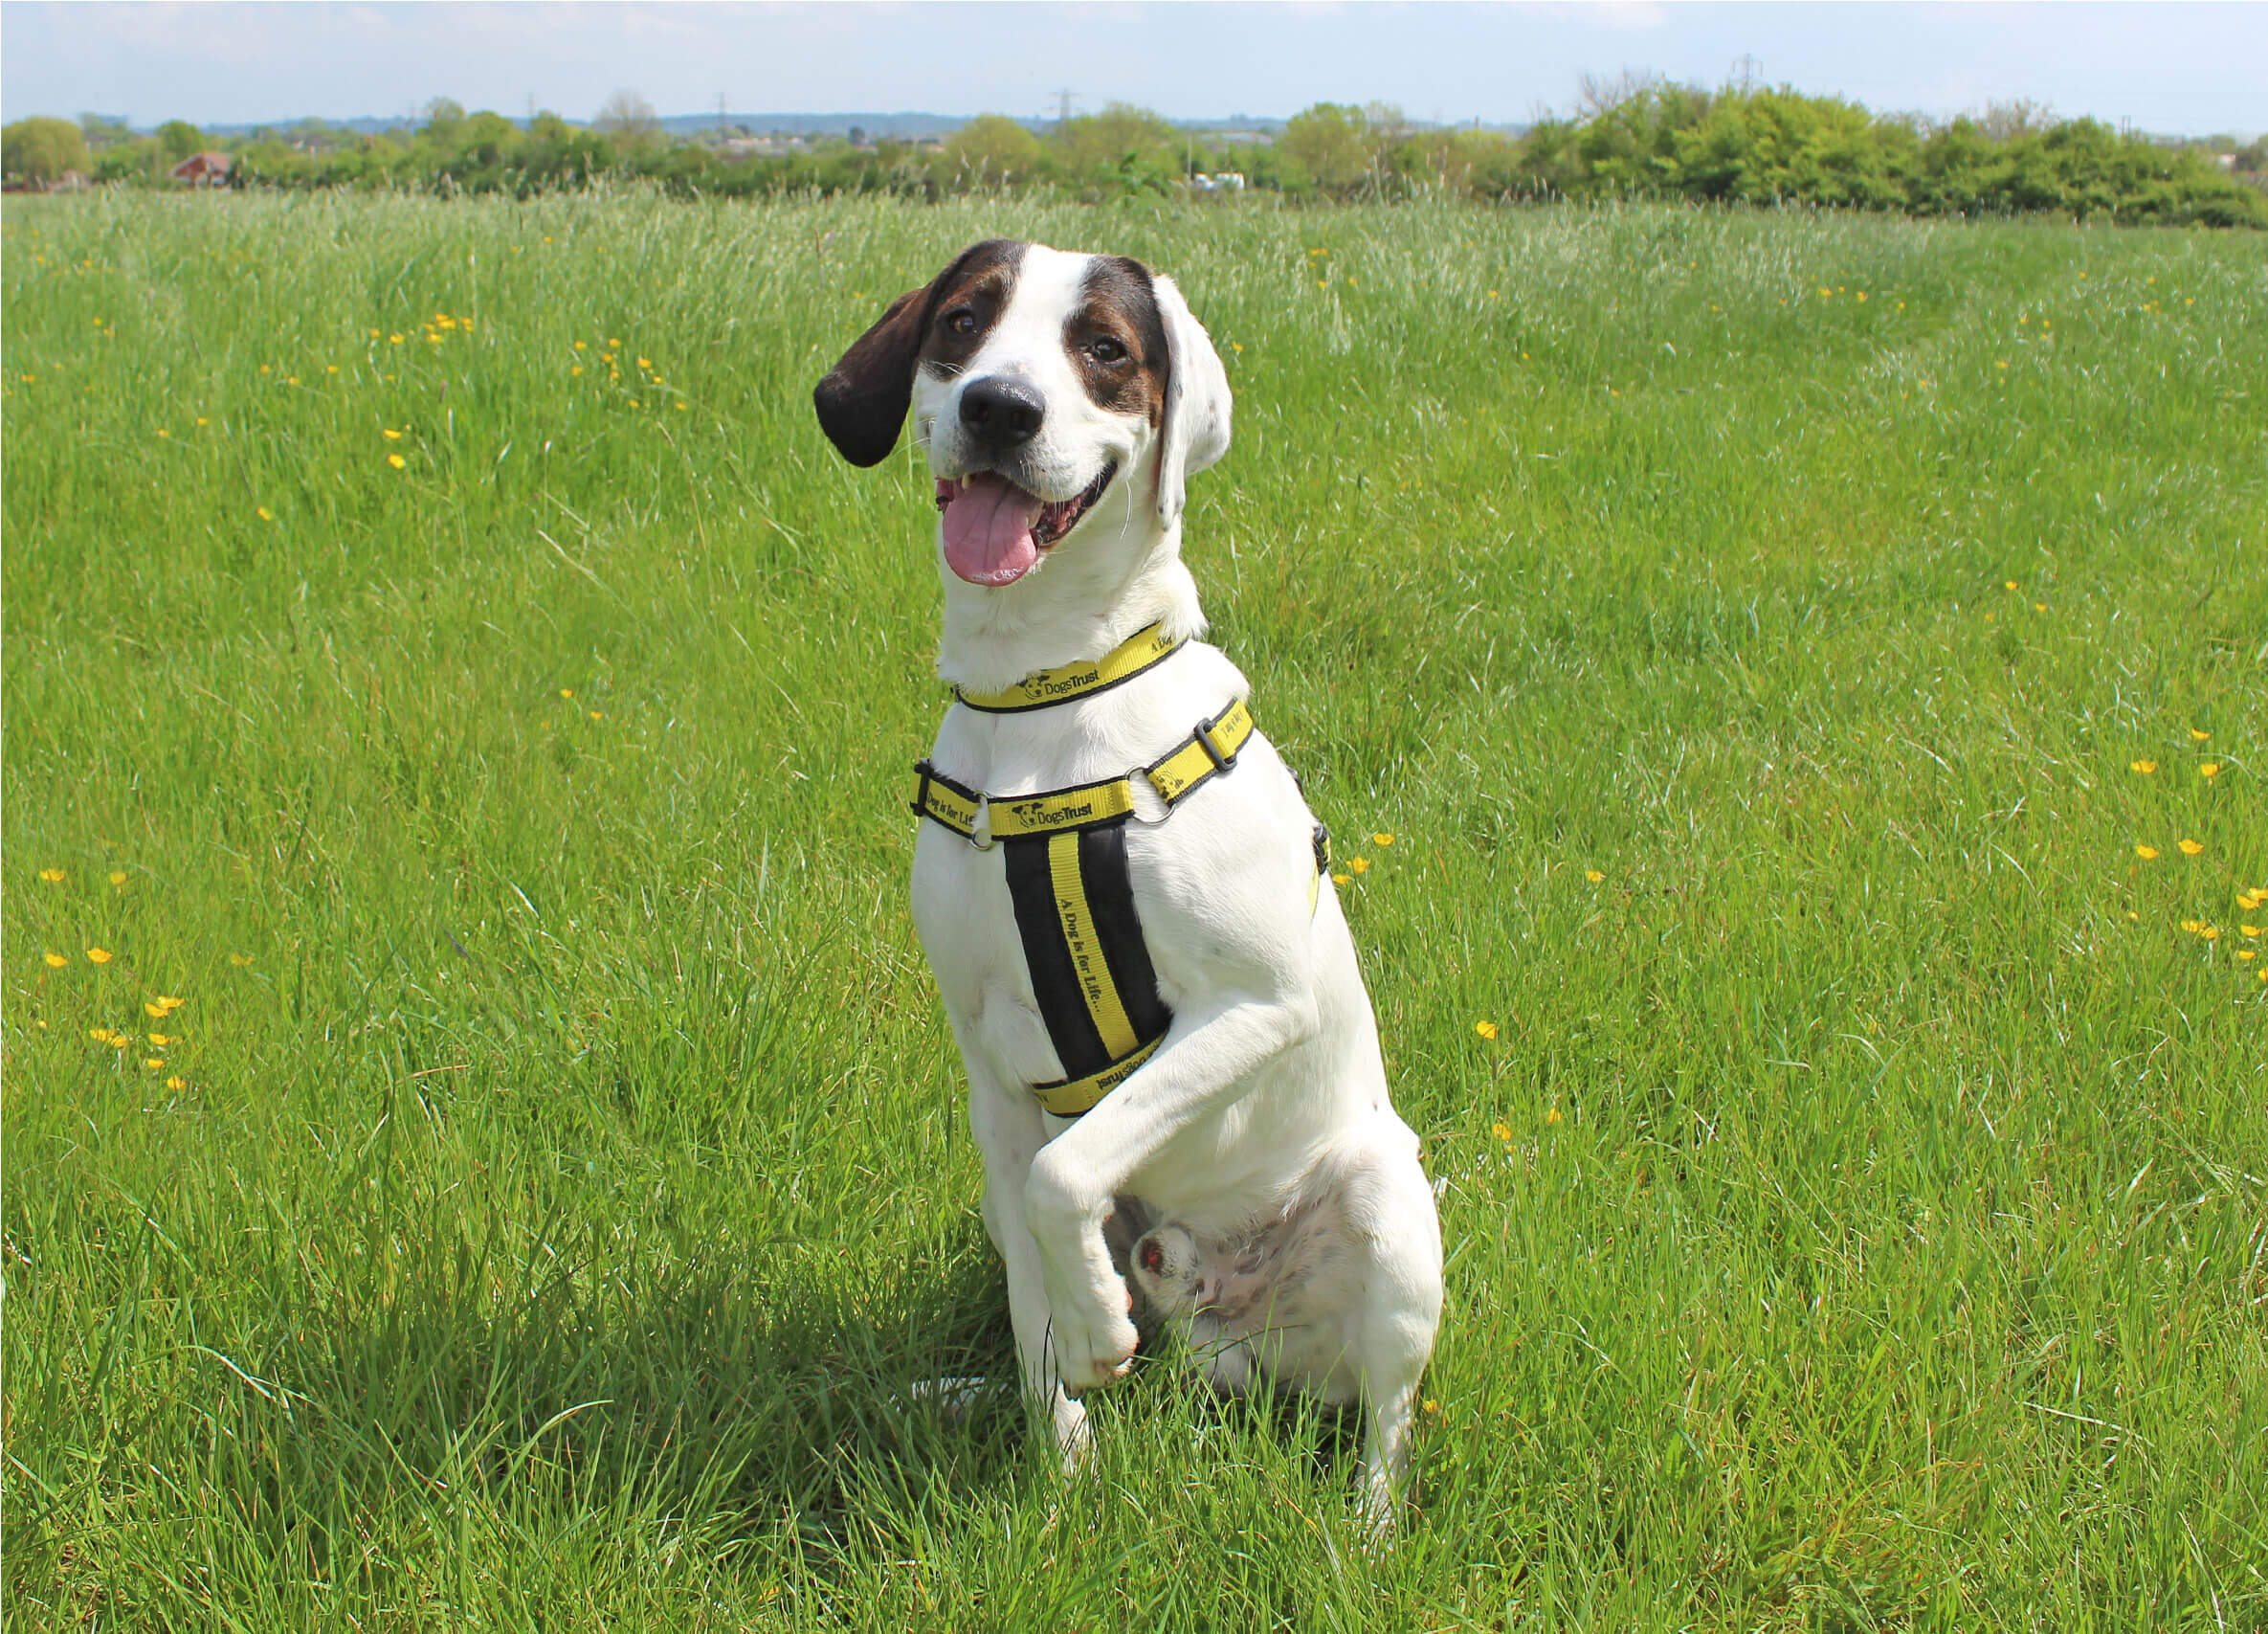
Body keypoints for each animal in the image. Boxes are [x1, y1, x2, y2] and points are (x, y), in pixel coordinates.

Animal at [816, 242, 1442, 1533]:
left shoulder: (1257, 1005)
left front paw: (1098, 1323)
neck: (1044, 696)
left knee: (1387, 1420)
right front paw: (1060, 1480)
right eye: (964, 323)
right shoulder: (990, 1084)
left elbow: (1072, 1170)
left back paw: (1364, 1533)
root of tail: (1238, 1341)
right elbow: (1035, 1307)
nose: (1000, 408)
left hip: (1387, 1198)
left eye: (1104, 348)